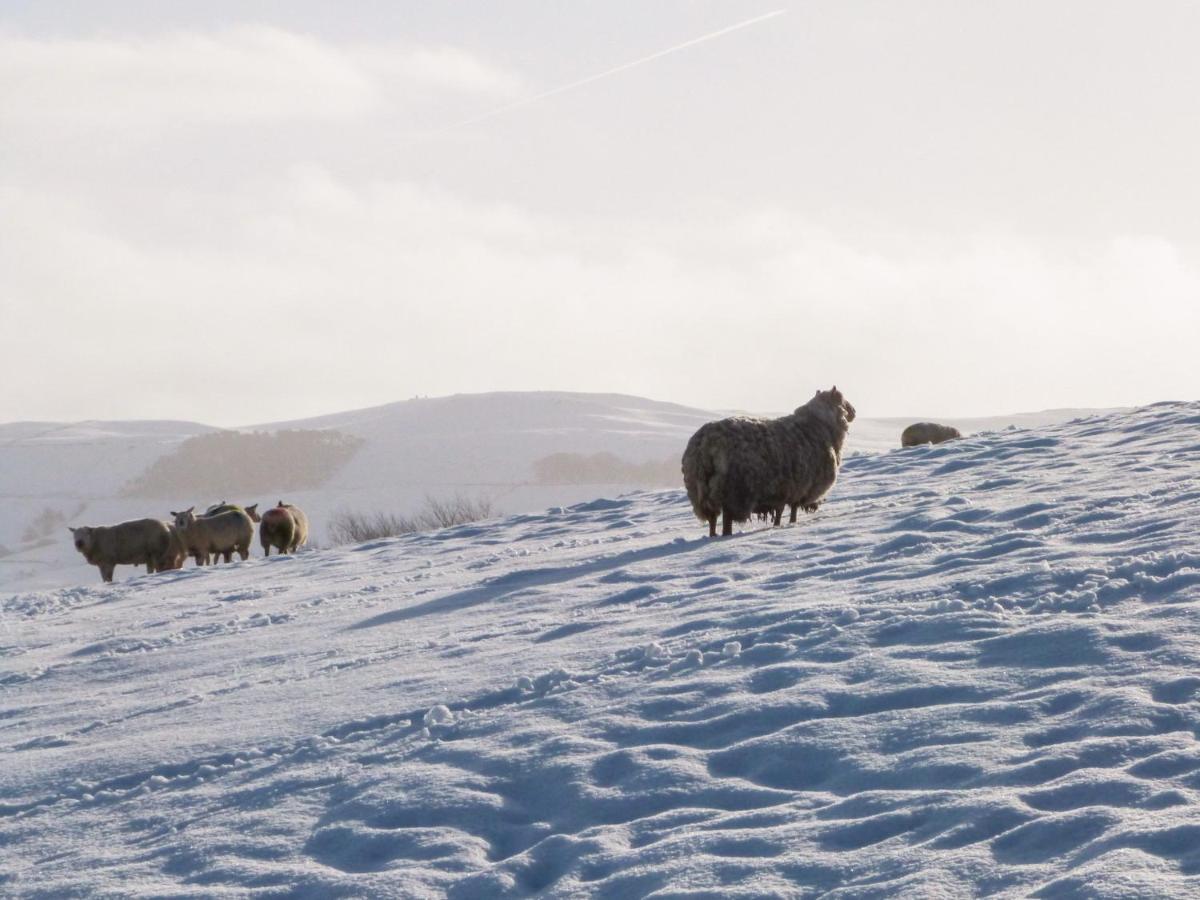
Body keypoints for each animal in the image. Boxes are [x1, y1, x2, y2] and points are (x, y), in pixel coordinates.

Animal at [681, 386, 859, 535]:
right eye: (842, 399)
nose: (854, 411)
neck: (821, 425)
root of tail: (704, 444)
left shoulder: (785, 490)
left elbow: (782, 512)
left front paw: (780, 524)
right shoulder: (799, 487)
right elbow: (791, 511)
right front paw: (790, 524)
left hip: (701, 491)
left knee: (712, 519)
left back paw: (712, 535)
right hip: (733, 491)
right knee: (726, 521)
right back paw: (725, 535)